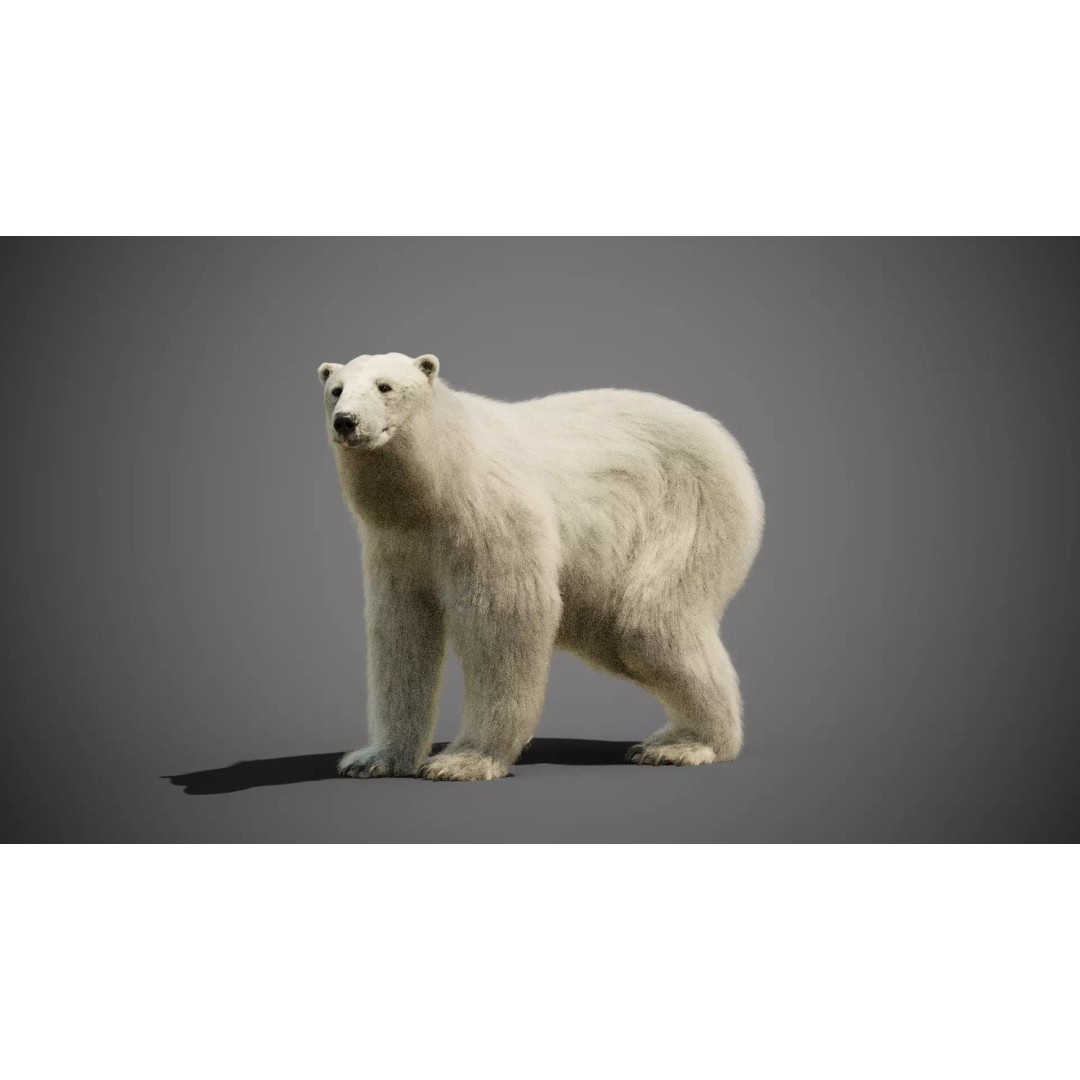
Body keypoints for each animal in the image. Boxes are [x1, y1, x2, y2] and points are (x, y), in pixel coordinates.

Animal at [319, 352, 764, 781]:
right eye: (336, 389)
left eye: (385, 386)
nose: (346, 421)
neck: (440, 483)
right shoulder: (397, 547)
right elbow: (401, 633)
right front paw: (374, 759)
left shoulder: (493, 520)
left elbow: (507, 622)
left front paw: (463, 761)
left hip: (690, 513)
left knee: (646, 624)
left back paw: (682, 745)